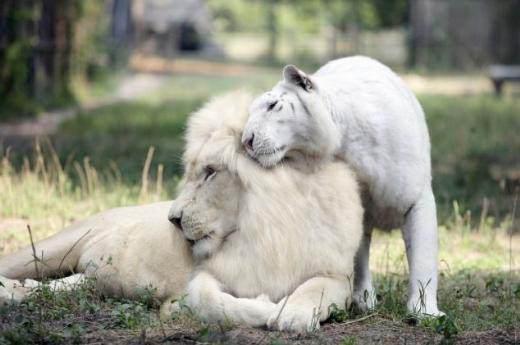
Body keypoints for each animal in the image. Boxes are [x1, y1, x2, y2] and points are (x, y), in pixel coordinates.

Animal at [0, 90, 362, 330]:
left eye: (210, 172)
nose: (172, 219)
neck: (266, 228)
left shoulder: (337, 275)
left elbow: (313, 290)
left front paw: (292, 314)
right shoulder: (207, 275)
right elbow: (210, 302)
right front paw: (181, 309)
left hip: (88, 276)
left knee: (60, 285)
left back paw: (21, 291)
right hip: (50, 247)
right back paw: (9, 289)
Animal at [243, 56, 442, 318]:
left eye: (273, 105)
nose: (246, 141)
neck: (346, 142)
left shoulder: (417, 199)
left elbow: (423, 256)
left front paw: (425, 312)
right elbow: (358, 256)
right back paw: (363, 300)